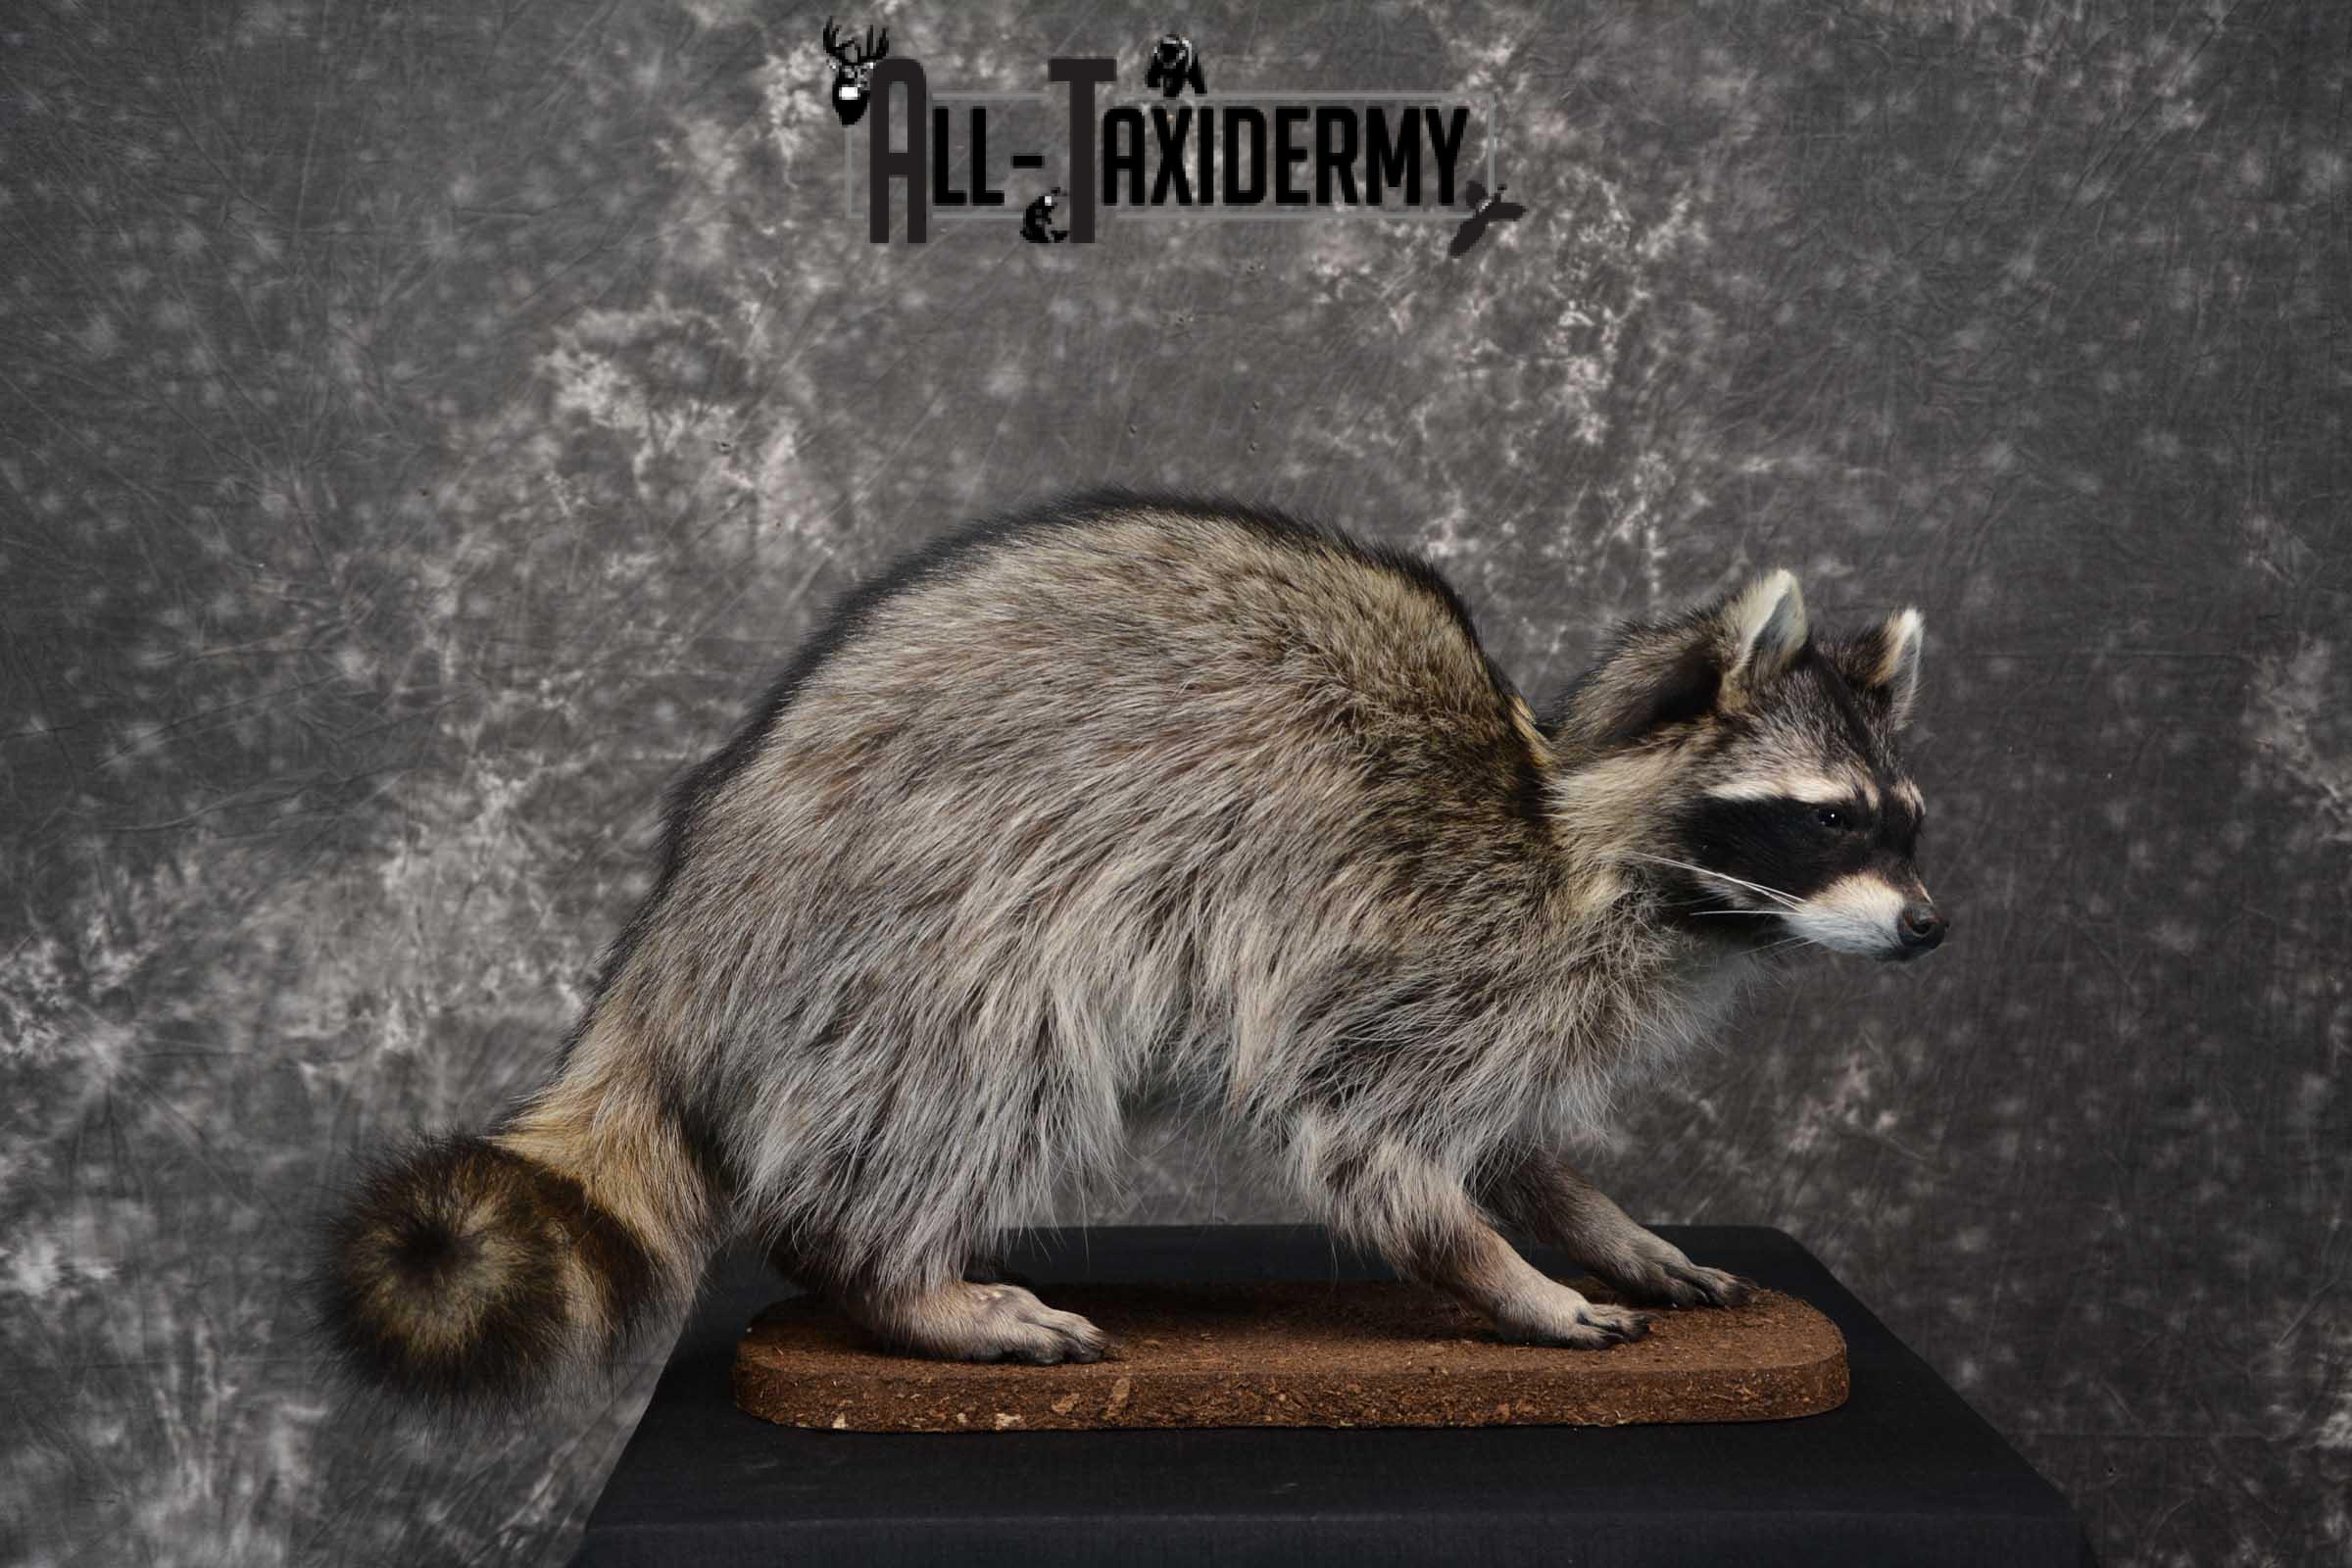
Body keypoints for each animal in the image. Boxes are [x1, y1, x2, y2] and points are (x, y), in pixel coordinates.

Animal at [321, 491, 1944, 1403]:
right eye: (1825, 820)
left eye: (1911, 822)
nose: (1933, 926)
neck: (1595, 846)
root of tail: (698, 901)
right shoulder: (1408, 946)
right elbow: (1364, 1137)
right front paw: (1505, 1274)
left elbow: (1512, 1139)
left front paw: (1602, 1222)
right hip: (941, 917)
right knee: (996, 1063)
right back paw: (894, 1276)